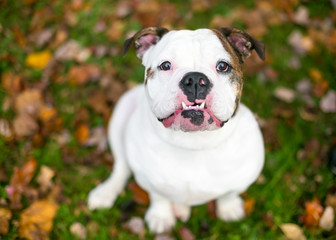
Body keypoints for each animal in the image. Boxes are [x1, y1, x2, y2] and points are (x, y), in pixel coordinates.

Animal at [88, 27, 266, 233]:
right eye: (165, 65)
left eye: (223, 66)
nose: (195, 79)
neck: (193, 143)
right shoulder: (148, 179)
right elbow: (158, 196)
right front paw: (160, 216)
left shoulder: (242, 178)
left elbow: (229, 194)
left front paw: (229, 209)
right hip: (122, 111)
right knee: (121, 167)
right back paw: (105, 193)